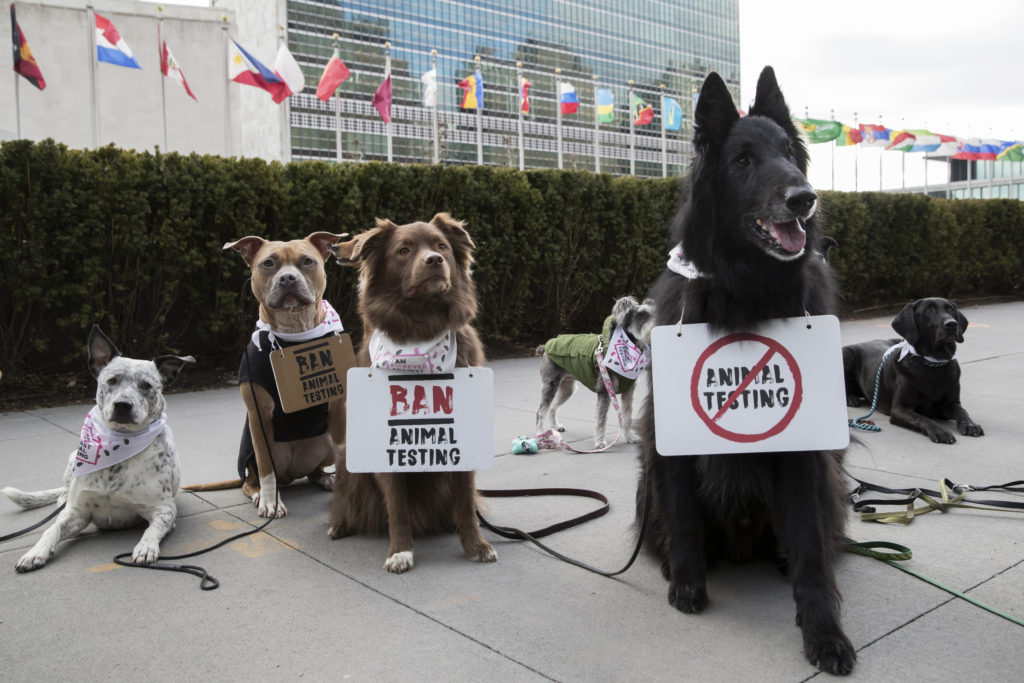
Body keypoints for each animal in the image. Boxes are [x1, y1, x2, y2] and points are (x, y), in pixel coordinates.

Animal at [1, 325, 193, 573]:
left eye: (146, 385)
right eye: (112, 381)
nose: (123, 405)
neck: (119, 447)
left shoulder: (164, 509)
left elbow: (152, 530)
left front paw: (146, 547)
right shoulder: (78, 513)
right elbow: (52, 529)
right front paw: (35, 552)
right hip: (72, 458)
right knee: (63, 494)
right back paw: (62, 499)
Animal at [327, 211, 495, 573]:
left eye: (441, 246)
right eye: (403, 250)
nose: (434, 260)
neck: (423, 322)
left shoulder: (463, 445)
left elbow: (465, 501)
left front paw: (476, 545)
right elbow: (397, 506)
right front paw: (400, 551)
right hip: (346, 456)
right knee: (349, 500)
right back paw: (340, 524)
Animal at [536, 294, 655, 448]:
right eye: (641, 315)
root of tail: (545, 347)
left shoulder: (629, 393)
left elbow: (627, 417)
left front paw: (630, 437)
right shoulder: (605, 391)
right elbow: (601, 419)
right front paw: (600, 442)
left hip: (567, 388)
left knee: (553, 407)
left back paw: (556, 426)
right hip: (550, 386)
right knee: (541, 411)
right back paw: (540, 434)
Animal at [638, 66, 856, 675]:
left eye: (789, 153)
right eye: (743, 160)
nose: (804, 199)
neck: (745, 292)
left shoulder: (804, 454)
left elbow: (810, 553)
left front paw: (823, 632)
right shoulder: (669, 441)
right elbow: (684, 518)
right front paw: (688, 583)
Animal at [839, 299, 983, 444]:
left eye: (950, 310)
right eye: (929, 310)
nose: (952, 324)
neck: (935, 363)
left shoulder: (950, 404)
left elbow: (962, 411)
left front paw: (971, 425)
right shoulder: (900, 409)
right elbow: (922, 418)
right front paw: (940, 431)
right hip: (846, 355)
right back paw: (851, 398)